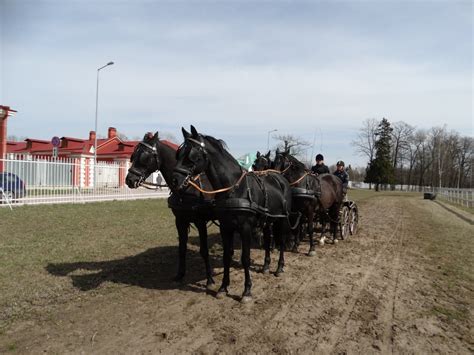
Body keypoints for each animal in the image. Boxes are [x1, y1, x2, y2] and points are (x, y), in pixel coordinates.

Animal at [125, 133, 216, 290]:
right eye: (133, 155)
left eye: (144, 156)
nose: (129, 180)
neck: (186, 187)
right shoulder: (180, 221)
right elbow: (182, 249)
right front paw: (180, 275)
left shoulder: (200, 222)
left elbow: (204, 251)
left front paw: (209, 279)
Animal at [174, 126, 292, 304]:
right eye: (178, 154)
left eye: (192, 155)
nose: (175, 180)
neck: (233, 188)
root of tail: (281, 178)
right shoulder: (225, 227)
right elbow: (226, 256)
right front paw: (223, 288)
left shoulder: (245, 228)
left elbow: (245, 258)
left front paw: (247, 291)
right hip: (267, 221)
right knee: (267, 241)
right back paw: (266, 266)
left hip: (282, 220)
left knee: (282, 241)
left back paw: (279, 267)